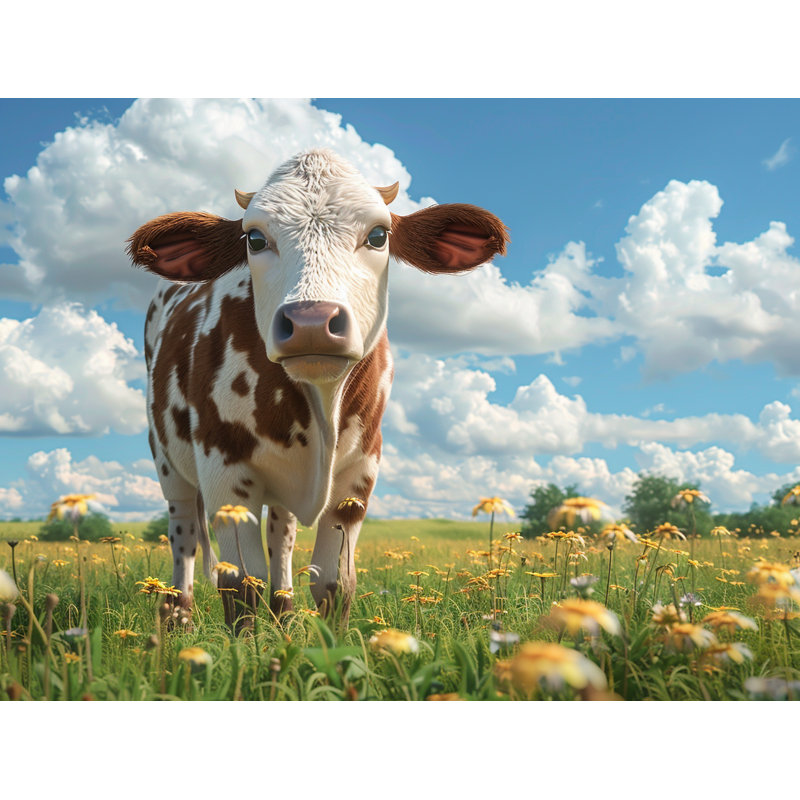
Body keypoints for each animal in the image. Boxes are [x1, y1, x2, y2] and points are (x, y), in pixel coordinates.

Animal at [127, 148, 508, 631]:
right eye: (254, 239)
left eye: (378, 235)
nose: (311, 321)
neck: (318, 405)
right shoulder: (223, 472)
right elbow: (241, 584)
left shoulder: (359, 473)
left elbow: (334, 582)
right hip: (168, 465)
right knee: (185, 537)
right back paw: (179, 617)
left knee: (282, 536)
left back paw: (285, 615)